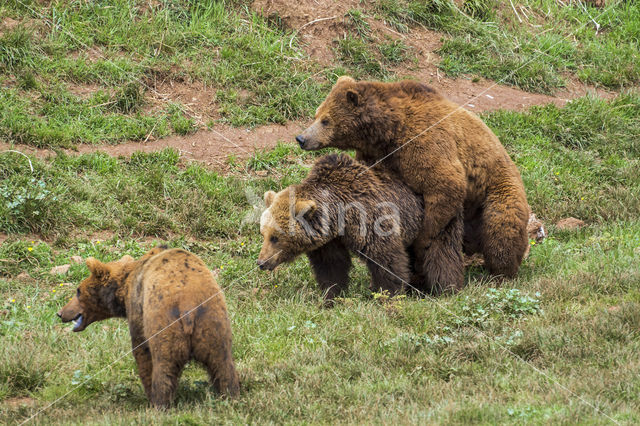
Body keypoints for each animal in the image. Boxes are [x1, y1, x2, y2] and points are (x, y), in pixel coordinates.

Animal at [56, 245, 238, 408]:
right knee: (222, 363)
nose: (61, 313)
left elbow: (141, 349)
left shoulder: (137, 308)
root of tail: (188, 304)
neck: (123, 289)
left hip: (164, 324)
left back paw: (158, 403)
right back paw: (230, 396)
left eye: (78, 291)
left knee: (163, 366)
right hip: (212, 323)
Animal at [296, 76, 528, 294]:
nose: (301, 138)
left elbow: (445, 185)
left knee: (502, 229)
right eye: (317, 114)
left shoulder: (424, 141)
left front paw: (421, 243)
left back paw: (501, 273)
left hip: (497, 188)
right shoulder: (378, 156)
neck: (388, 131)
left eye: (325, 120)